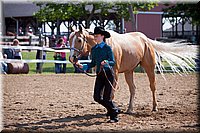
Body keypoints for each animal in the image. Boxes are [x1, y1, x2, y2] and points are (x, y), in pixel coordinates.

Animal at [68, 26, 197, 114]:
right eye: (69, 40)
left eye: (79, 40)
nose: (72, 58)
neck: (104, 43)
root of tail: (146, 39)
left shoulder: (114, 73)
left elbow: (111, 94)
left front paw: (112, 110)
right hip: (128, 71)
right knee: (133, 88)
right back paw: (130, 109)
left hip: (149, 68)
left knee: (152, 86)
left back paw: (154, 107)